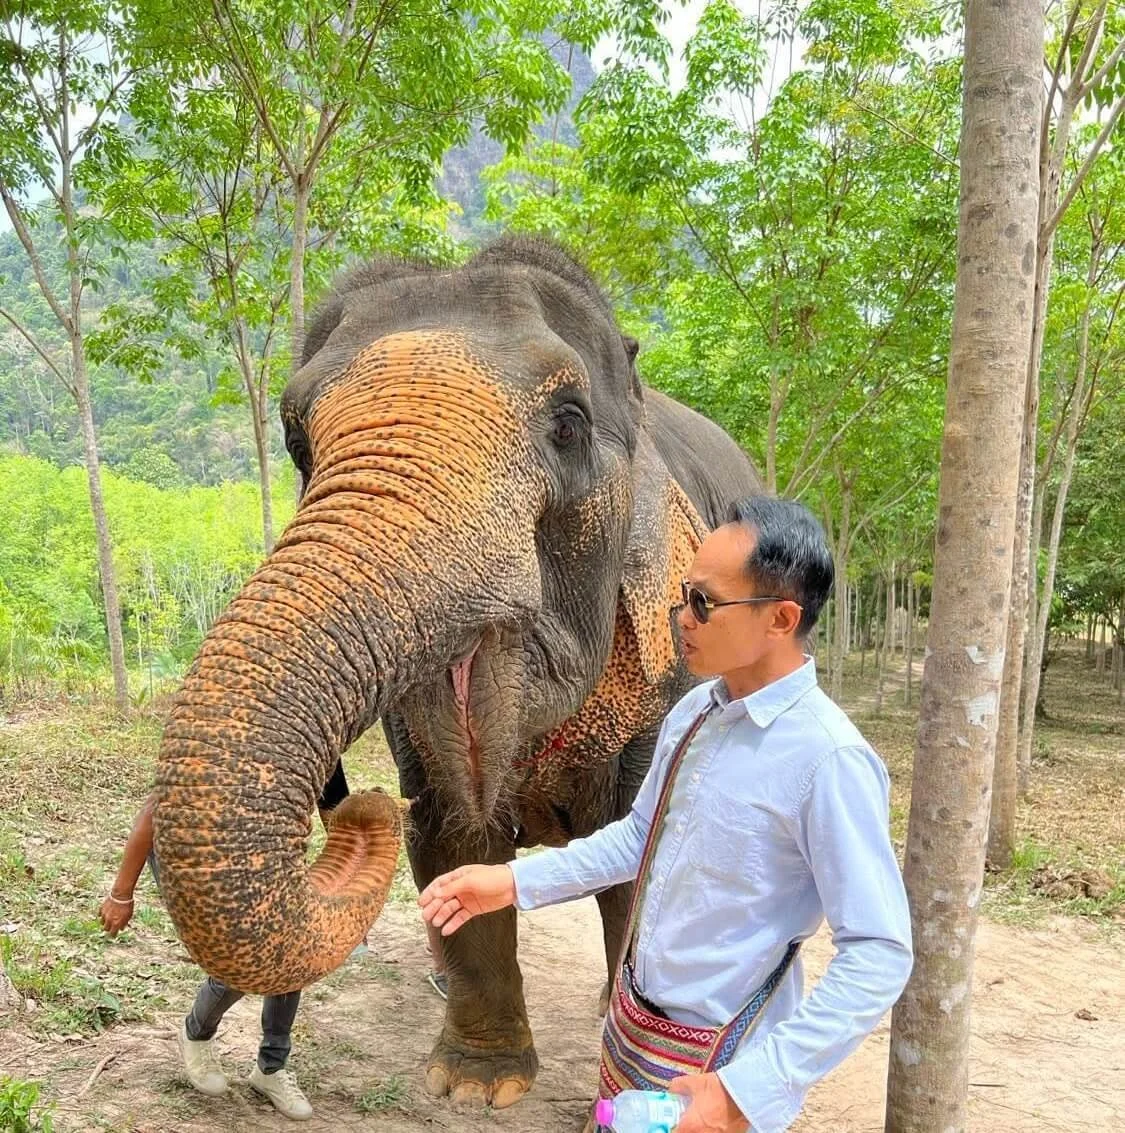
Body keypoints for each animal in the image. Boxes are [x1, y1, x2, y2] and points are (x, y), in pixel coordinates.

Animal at [152, 235, 761, 1109]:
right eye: (298, 441)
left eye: (568, 425)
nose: (362, 803)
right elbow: (448, 831)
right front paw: (479, 1085)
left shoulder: (674, 669)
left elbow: (640, 849)